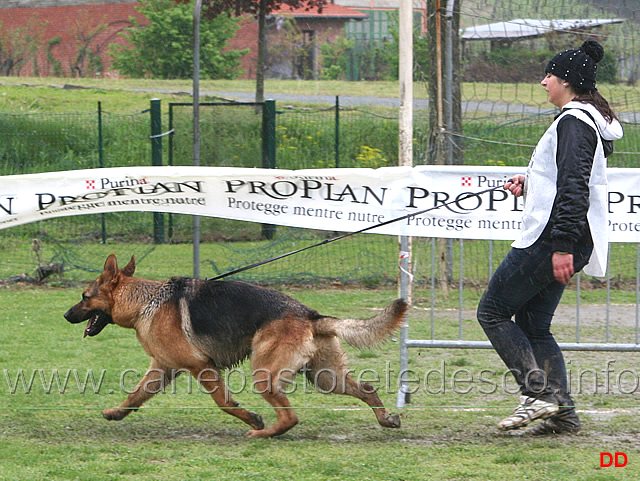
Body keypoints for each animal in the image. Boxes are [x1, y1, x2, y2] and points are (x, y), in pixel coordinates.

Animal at [63, 253, 404, 436]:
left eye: (84, 296)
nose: (65, 316)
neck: (146, 301)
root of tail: (311, 314)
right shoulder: (163, 368)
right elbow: (135, 395)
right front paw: (116, 413)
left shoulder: (202, 367)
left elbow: (225, 402)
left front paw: (250, 416)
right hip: (325, 378)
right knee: (367, 389)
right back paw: (386, 418)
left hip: (265, 375)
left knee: (290, 417)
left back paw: (262, 432)